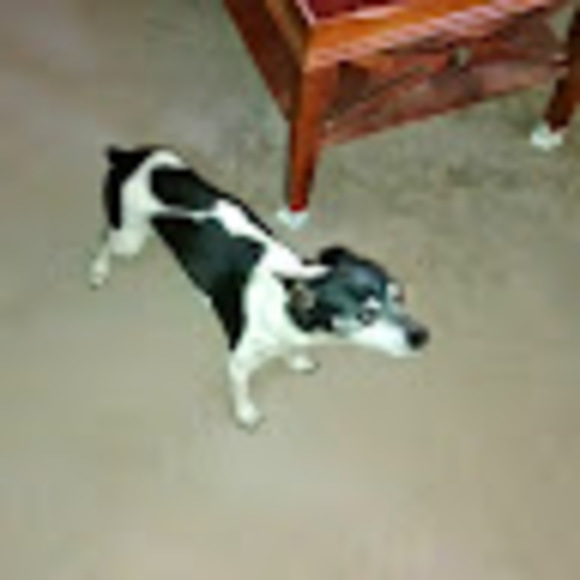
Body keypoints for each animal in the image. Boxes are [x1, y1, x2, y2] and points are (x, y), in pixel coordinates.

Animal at [90, 146, 430, 430]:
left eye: (400, 296)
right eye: (366, 315)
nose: (423, 338)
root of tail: (128, 156)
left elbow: (292, 352)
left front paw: (297, 360)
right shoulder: (238, 364)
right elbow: (242, 392)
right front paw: (246, 414)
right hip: (128, 239)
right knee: (106, 239)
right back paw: (98, 271)